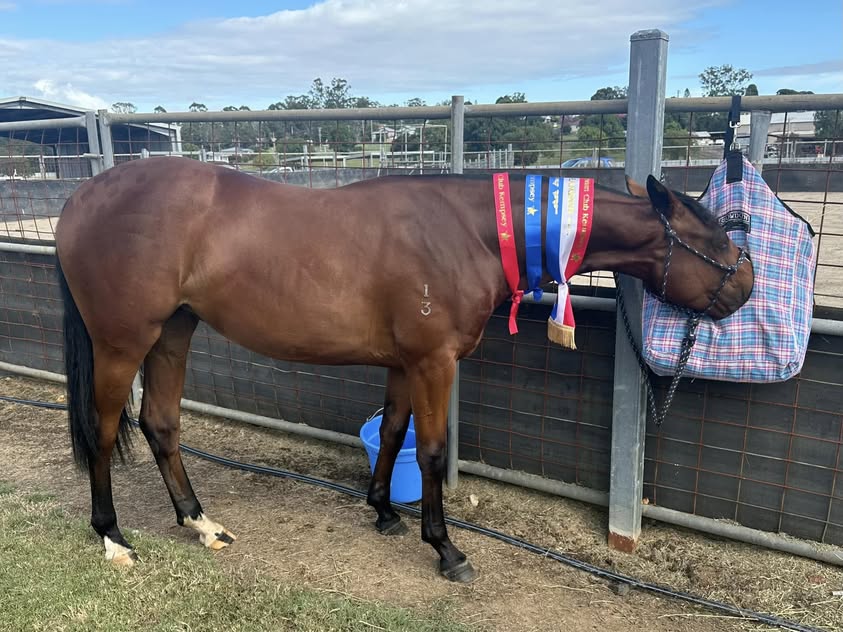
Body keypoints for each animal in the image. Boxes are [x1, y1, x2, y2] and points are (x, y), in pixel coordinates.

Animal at [53, 156, 753, 583]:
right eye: (713, 238)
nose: (746, 285)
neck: (469, 232)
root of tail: (82, 196)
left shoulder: (402, 363)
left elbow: (393, 432)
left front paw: (384, 511)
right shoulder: (433, 361)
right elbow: (436, 450)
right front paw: (445, 548)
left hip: (174, 331)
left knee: (161, 424)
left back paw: (199, 522)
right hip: (122, 342)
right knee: (106, 430)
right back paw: (112, 536)